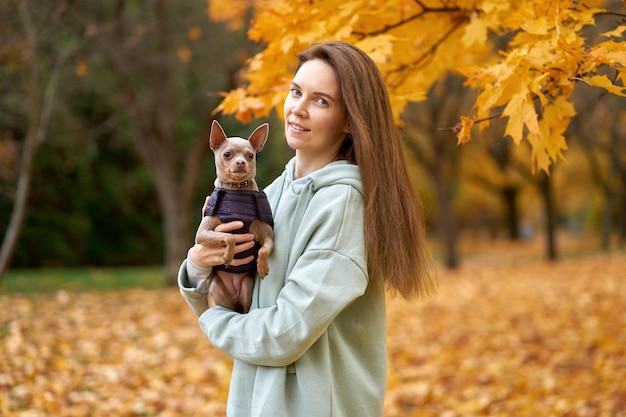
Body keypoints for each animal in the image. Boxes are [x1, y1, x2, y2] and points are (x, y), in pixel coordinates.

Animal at [195, 120, 272, 312]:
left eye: (250, 155)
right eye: (227, 154)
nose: (241, 162)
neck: (237, 191)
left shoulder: (268, 235)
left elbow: (264, 248)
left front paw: (262, 266)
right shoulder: (202, 234)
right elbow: (229, 236)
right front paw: (228, 255)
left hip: (246, 289)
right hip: (217, 289)